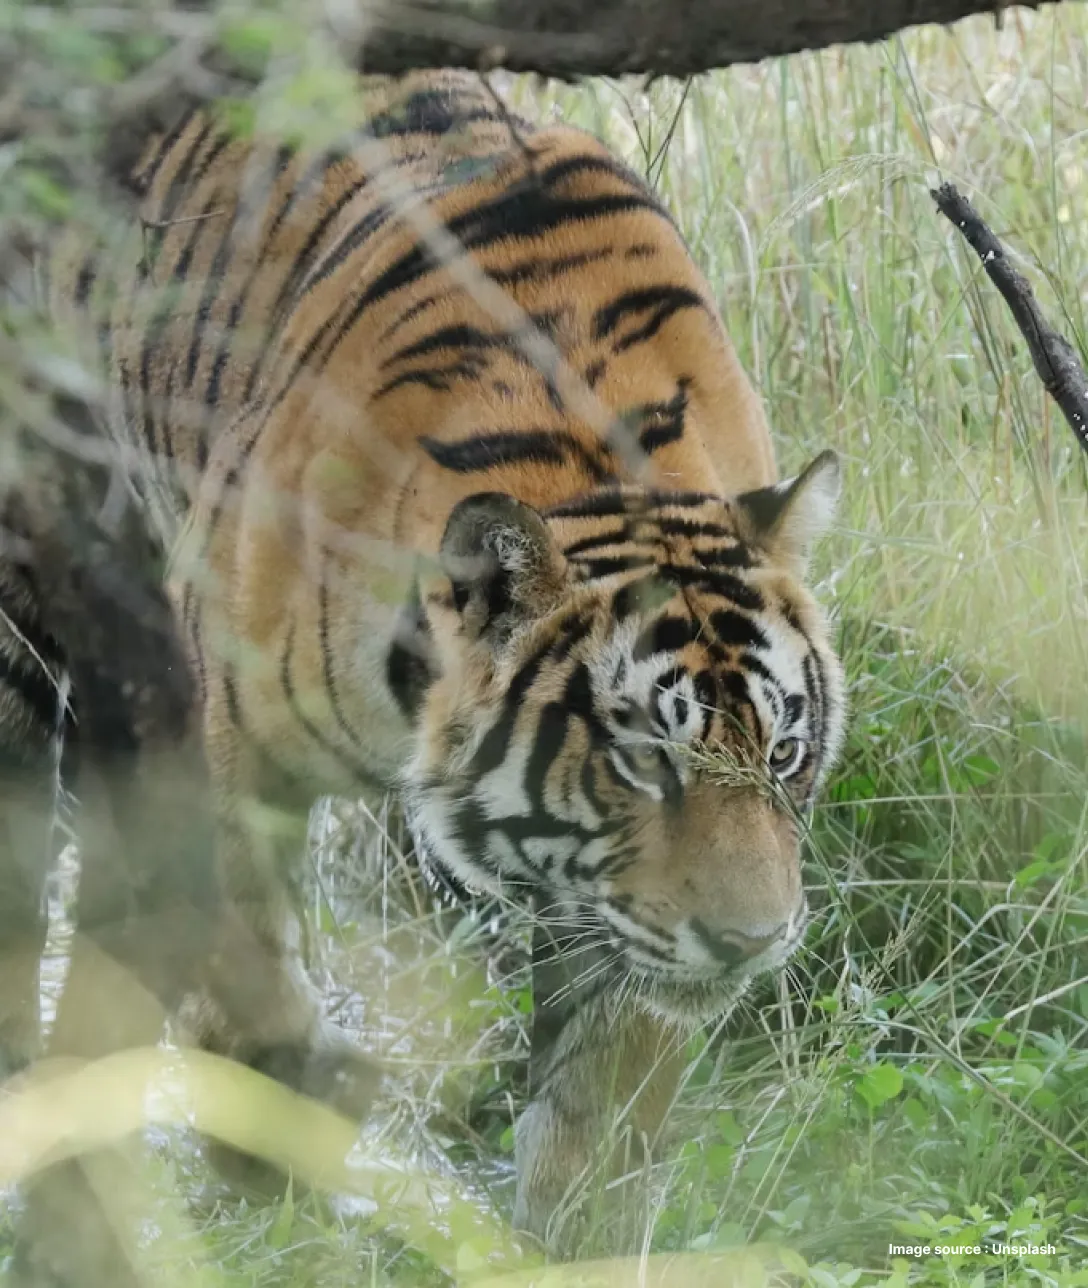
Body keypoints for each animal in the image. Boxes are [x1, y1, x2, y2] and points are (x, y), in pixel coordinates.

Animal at [0, 69, 846, 1250]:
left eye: (782, 755)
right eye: (642, 761)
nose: (750, 942)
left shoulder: (620, 924)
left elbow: (600, 1109)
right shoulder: (221, 730)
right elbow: (241, 946)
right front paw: (278, 1110)